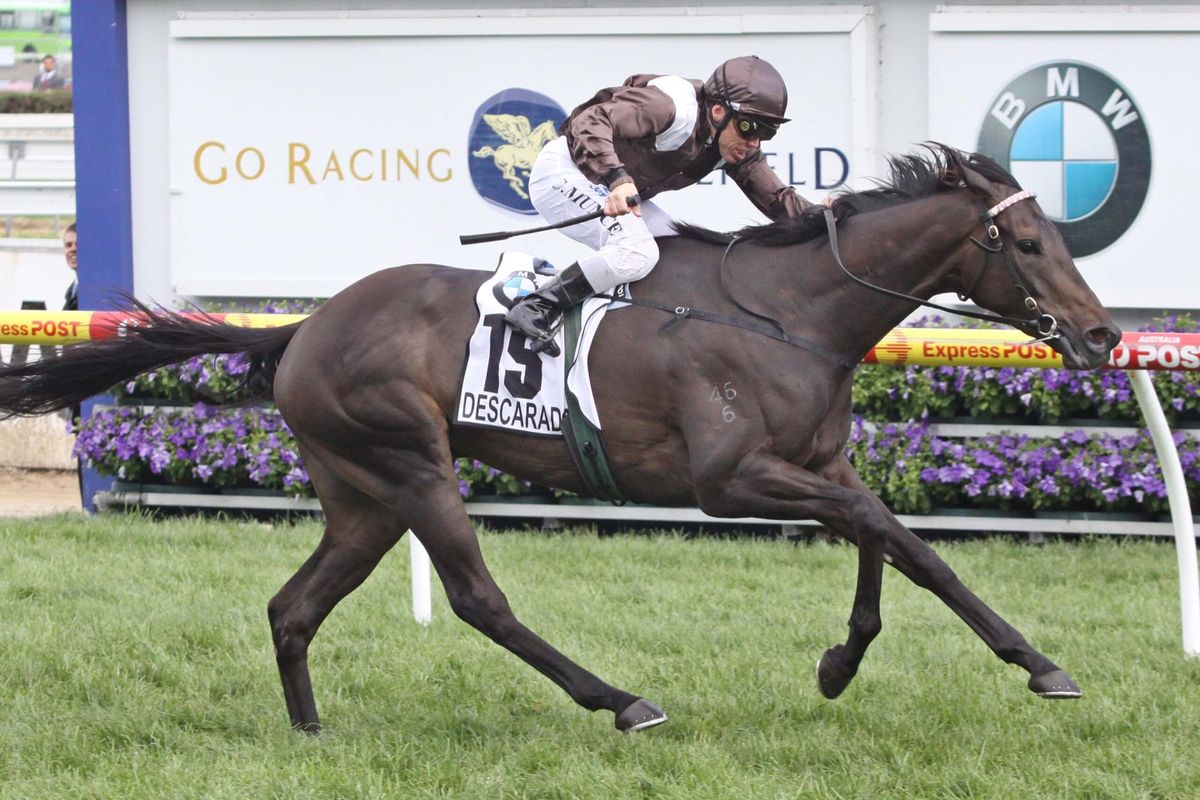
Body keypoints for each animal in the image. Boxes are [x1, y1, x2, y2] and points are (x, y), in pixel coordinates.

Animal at [0, 144, 1120, 734]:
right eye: (1027, 243)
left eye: (1060, 236)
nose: (1104, 334)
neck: (791, 310)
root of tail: (299, 329)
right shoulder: (731, 478)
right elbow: (896, 534)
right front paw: (1034, 661)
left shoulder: (813, 463)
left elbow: (887, 543)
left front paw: (846, 663)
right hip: (411, 462)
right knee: (477, 598)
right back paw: (618, 699)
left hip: (361, 494)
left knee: (294, 605)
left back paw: (311, 729)